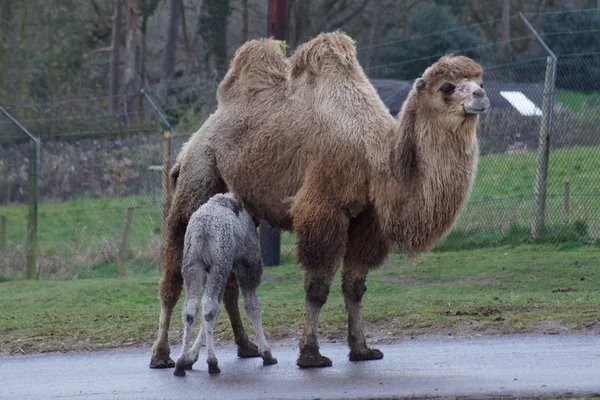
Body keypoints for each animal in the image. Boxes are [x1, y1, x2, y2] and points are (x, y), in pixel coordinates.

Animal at [173, 192, 276, 376]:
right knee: (208, 306)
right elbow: (253, 306)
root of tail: (203, 229)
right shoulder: (247, 263)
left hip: (192, 264)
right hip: (219, 264)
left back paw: (179, 364)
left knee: (192, 308)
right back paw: (212, 362)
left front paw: (190, 358)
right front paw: (266, 353)